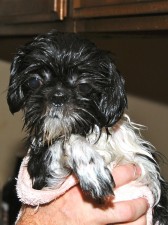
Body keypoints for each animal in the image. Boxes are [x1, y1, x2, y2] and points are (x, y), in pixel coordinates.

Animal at [6, 30, 168, 224]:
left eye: (84, 86)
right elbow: (68, 139)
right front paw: (90, 166)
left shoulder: (148, 175)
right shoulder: (42, 179)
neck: (89, 131)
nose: (57, 96)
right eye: (33, 82)